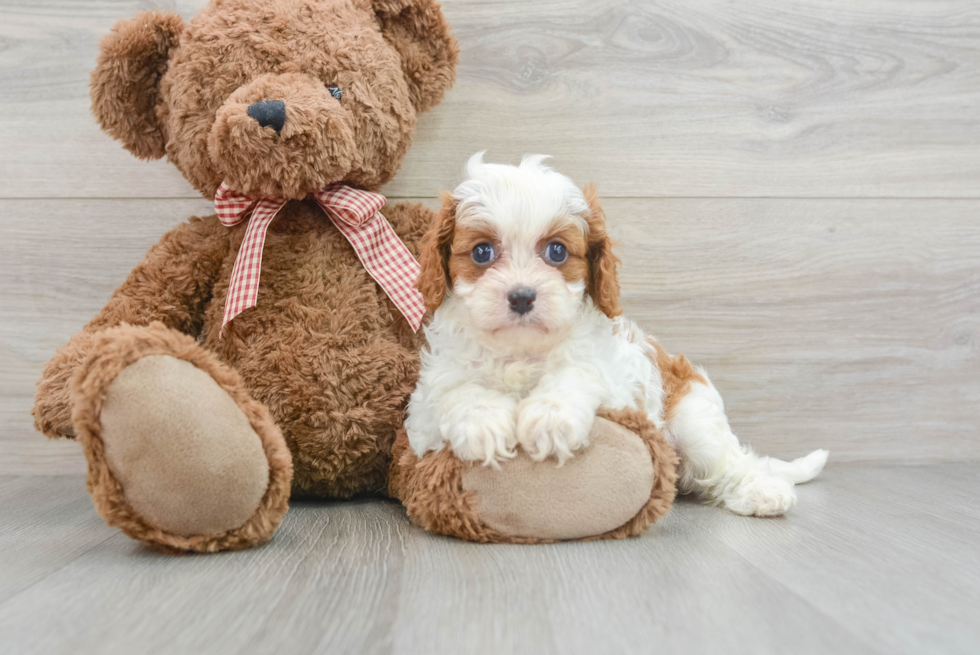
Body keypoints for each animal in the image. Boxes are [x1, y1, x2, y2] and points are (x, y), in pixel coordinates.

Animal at [406, 151, 828, 516]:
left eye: (557, 252)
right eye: (482, 253)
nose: (522, 296)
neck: (519, 352)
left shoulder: (614, 385)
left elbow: (578, 374)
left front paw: (550, 417)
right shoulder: (424, 411)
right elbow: (457, 391)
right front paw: (483, 424)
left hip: (694, 419)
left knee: (731, 462)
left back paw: (761, 491)